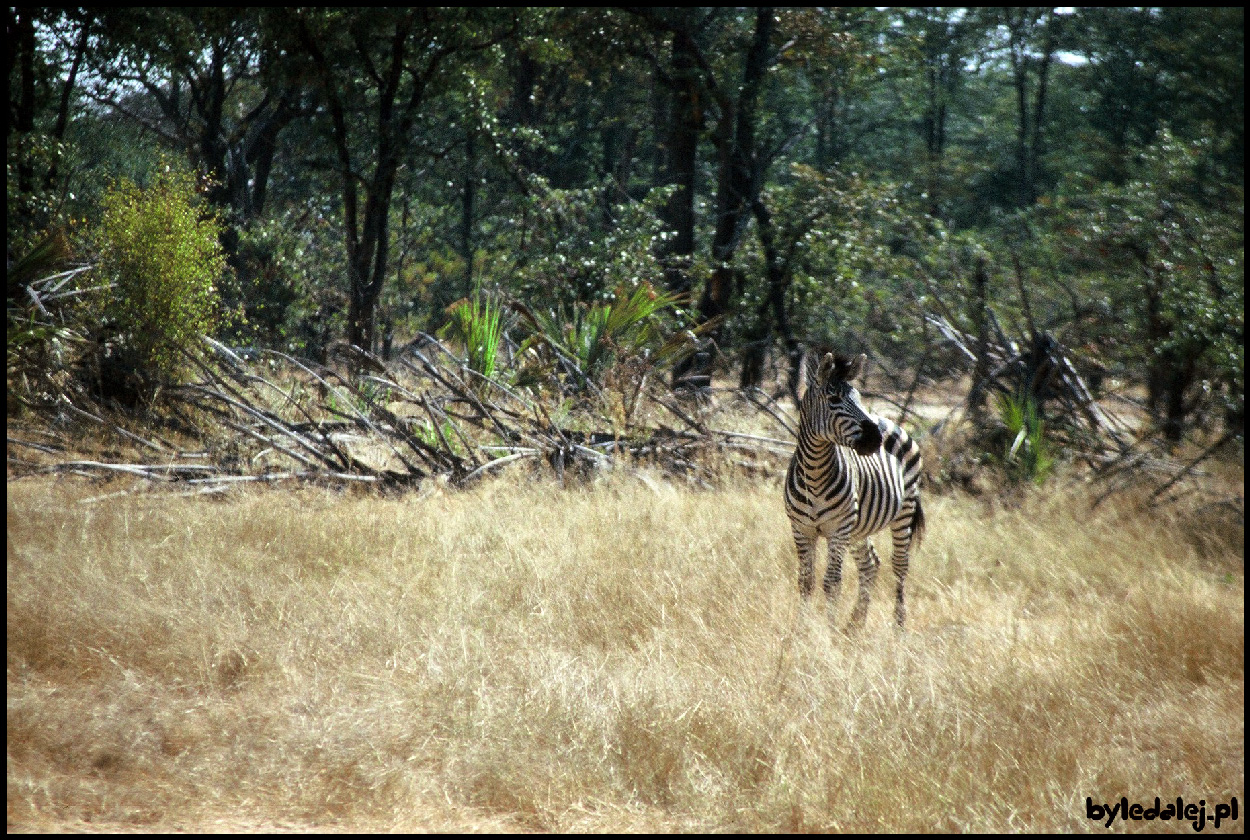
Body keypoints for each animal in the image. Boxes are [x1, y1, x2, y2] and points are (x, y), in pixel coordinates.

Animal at [785, 350, 925, 630]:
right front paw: (801, 632)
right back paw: (854, 624)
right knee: (870, 564)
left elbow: (831, 583)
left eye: (859, 397)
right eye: (833, 399)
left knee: (899, 566)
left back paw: (899, 627)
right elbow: (805, 582)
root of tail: (886, 420)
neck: (814, 473)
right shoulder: (801, 529)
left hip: (904, 510)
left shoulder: (838, 530)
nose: (875, 438)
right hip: (859, 528)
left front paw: (828, 631)